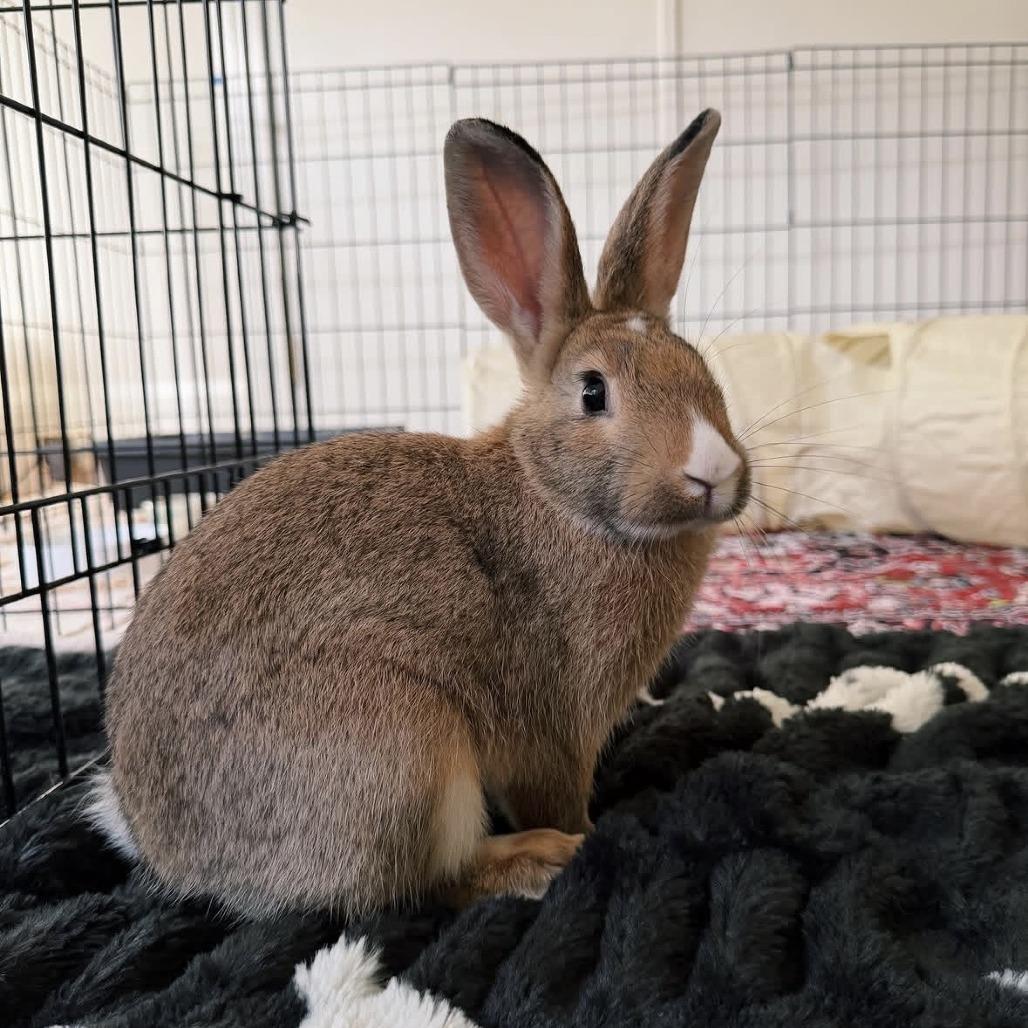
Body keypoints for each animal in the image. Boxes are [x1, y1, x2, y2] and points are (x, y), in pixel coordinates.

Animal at [91, 107, 750, 917]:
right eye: (594, 392)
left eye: (701, 370)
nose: (714, 471)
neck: (555, 496)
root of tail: (170, 853)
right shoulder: (553, 730)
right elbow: (556, 792)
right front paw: (587, 833)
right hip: (407, 749)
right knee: (422, 884)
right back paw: (541, 860)